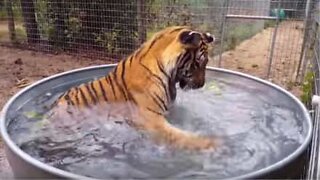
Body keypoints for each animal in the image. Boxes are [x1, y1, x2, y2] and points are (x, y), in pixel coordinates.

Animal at [52, 25, 216, 150]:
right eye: (199, 62)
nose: (201, 84)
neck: (168, 76)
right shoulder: (151, 119)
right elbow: (180, 136)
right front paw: (213, 144)